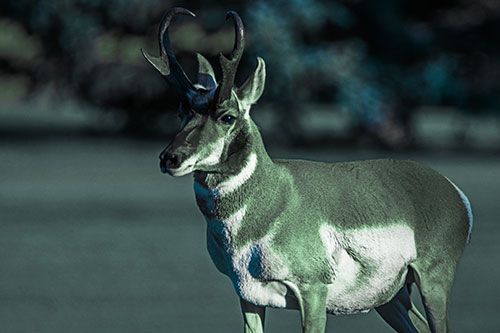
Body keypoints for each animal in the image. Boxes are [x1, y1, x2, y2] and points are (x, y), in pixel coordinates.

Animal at [142, 7, 472, 332]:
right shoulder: (248, 296)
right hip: (391, 298)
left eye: (227, 116)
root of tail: (452, 189)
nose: (169, 158)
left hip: (432, 281)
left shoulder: (312, 291)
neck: (273, 199)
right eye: (182, 112)